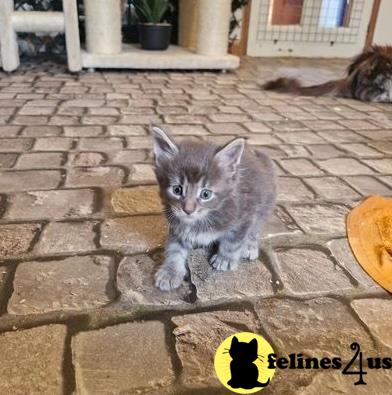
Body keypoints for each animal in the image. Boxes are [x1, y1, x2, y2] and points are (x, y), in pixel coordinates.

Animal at [152, 127, 278, 290]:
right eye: (177, 190)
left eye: (206, 194)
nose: (188, 210)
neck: (202, 219)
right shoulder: (176, 225)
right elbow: (174, 249)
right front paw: (170, 272)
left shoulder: (244, 216)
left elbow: (233, 240)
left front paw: (226, 258)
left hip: (265, 204)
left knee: (256, 227)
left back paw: (249, 246)